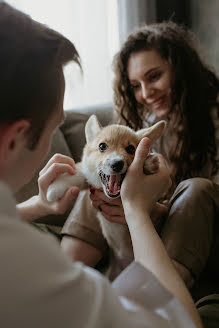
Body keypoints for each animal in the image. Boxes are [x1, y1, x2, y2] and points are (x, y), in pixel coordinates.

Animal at [47, 115, 165, 280]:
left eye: (131, 149)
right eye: (102, 146)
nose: (117, 163)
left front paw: (148, 163)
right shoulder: (89, 178)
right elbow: (79, 173)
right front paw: (54, 189)